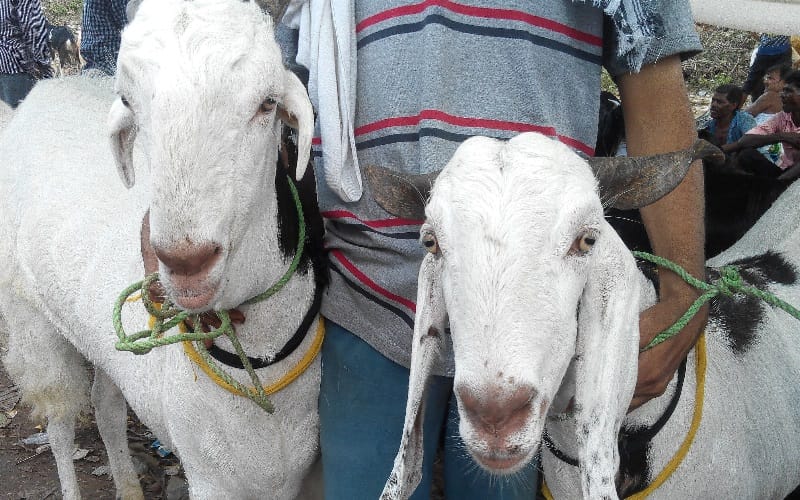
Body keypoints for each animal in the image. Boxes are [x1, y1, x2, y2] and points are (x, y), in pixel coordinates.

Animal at [0, 0, 325, 498]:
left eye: (267, 103)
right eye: (130, 103)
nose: (186, 261)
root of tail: (41, 93)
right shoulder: (211, 478)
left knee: (106, 407)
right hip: (30, 318)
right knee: (58, 424)